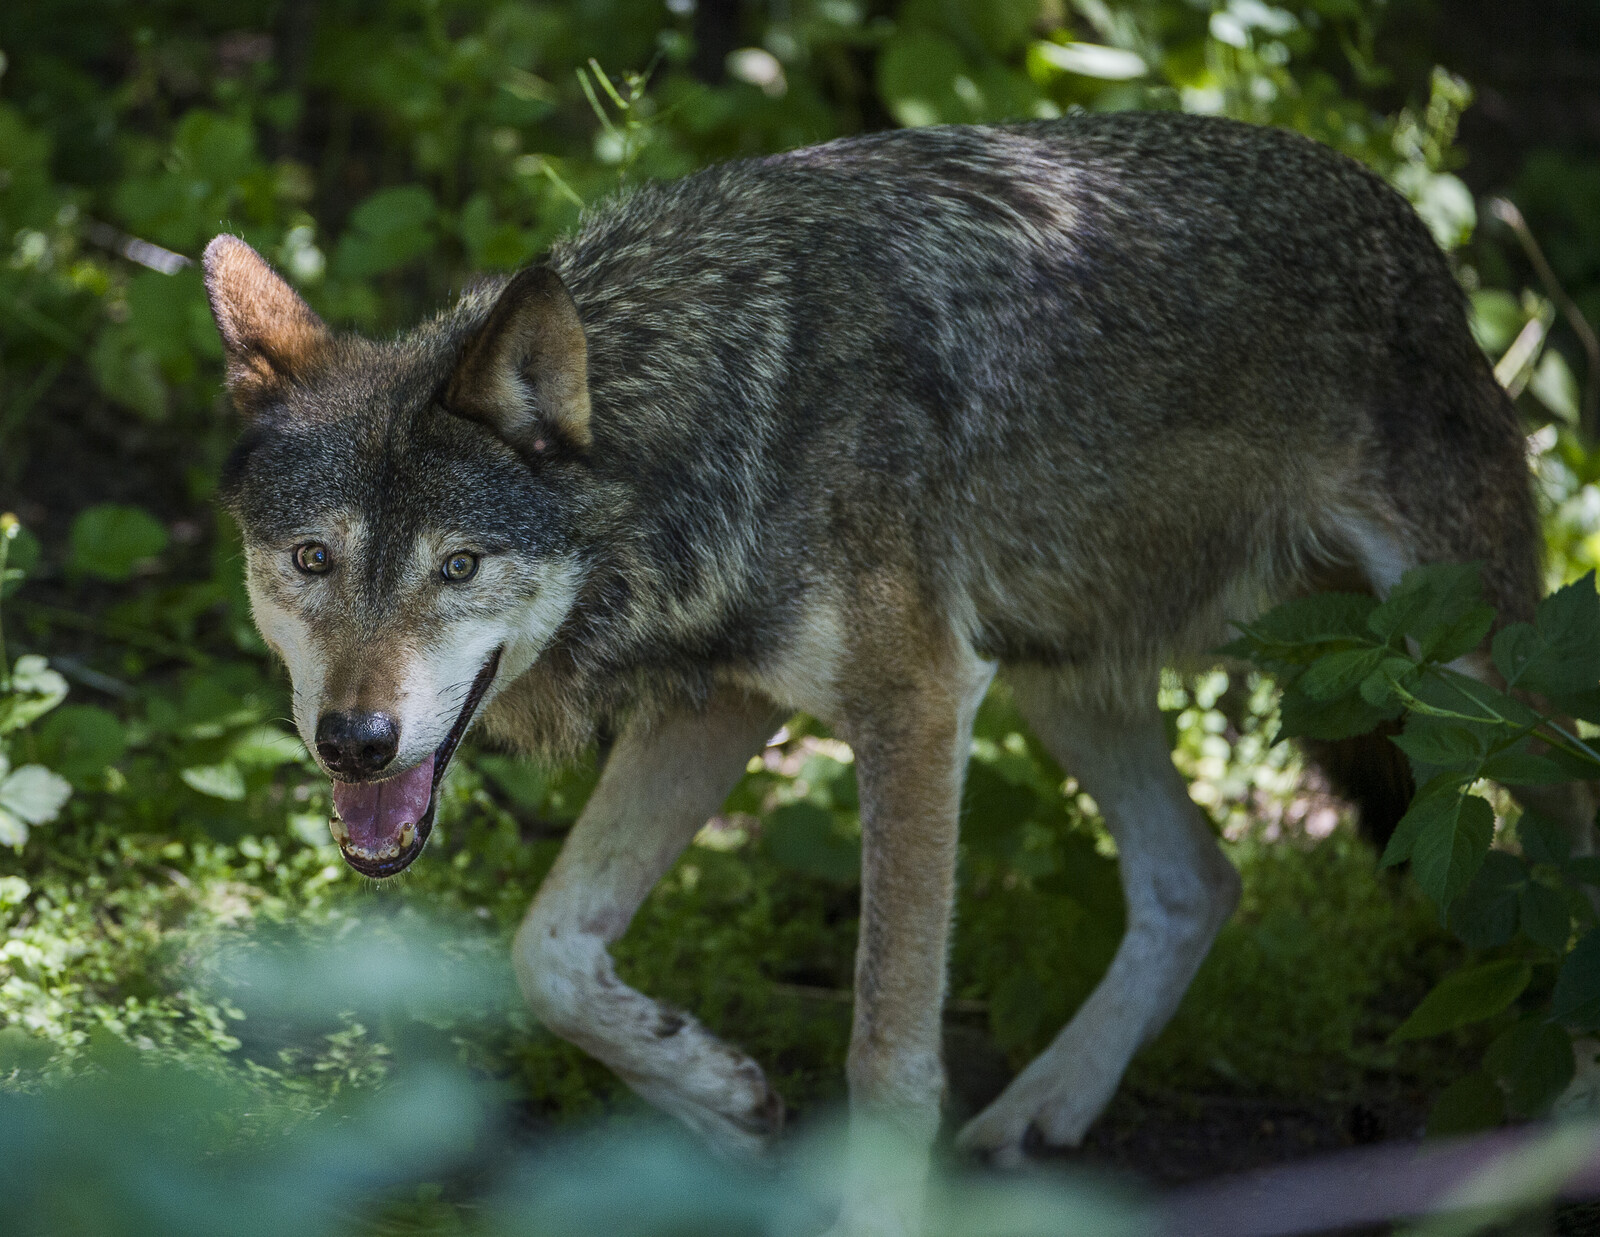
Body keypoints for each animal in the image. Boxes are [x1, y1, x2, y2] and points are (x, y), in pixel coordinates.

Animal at [204, 110, 1569, 1233]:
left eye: (459, 564)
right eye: (313, 558)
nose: (356, 742)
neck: (720, 419)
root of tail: (1406, 216)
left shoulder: (911, 704)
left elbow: (888, 1059)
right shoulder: (724, 702)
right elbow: (548, 954)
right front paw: (719, 1095)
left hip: (1482, 675)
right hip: (1053, 674)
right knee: (1199, 876)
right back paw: (1045, 1110)